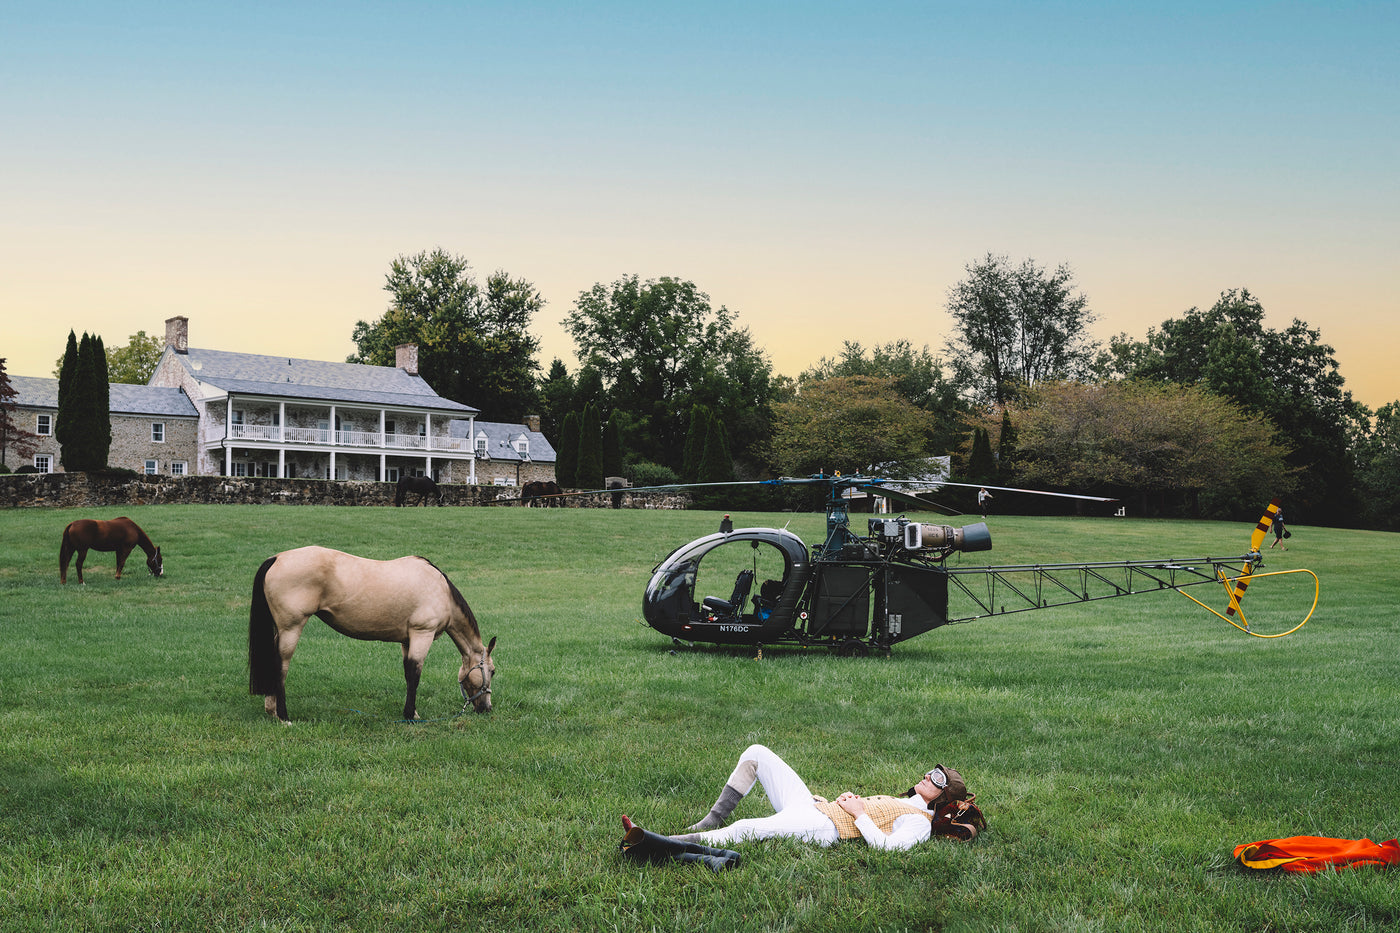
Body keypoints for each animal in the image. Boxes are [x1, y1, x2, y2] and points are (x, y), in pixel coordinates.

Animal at [247, 546, 498, 717]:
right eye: (493, 672)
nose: (486, 708)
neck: (441, 591)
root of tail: (277, 558)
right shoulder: (422, 635)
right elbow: (415, 674)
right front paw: (411, 715)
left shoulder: (407, 640)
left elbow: (408, 674)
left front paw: (411, 712)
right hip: (291, 628)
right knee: (280, 666)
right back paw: (284, 716)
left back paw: (271, 710)